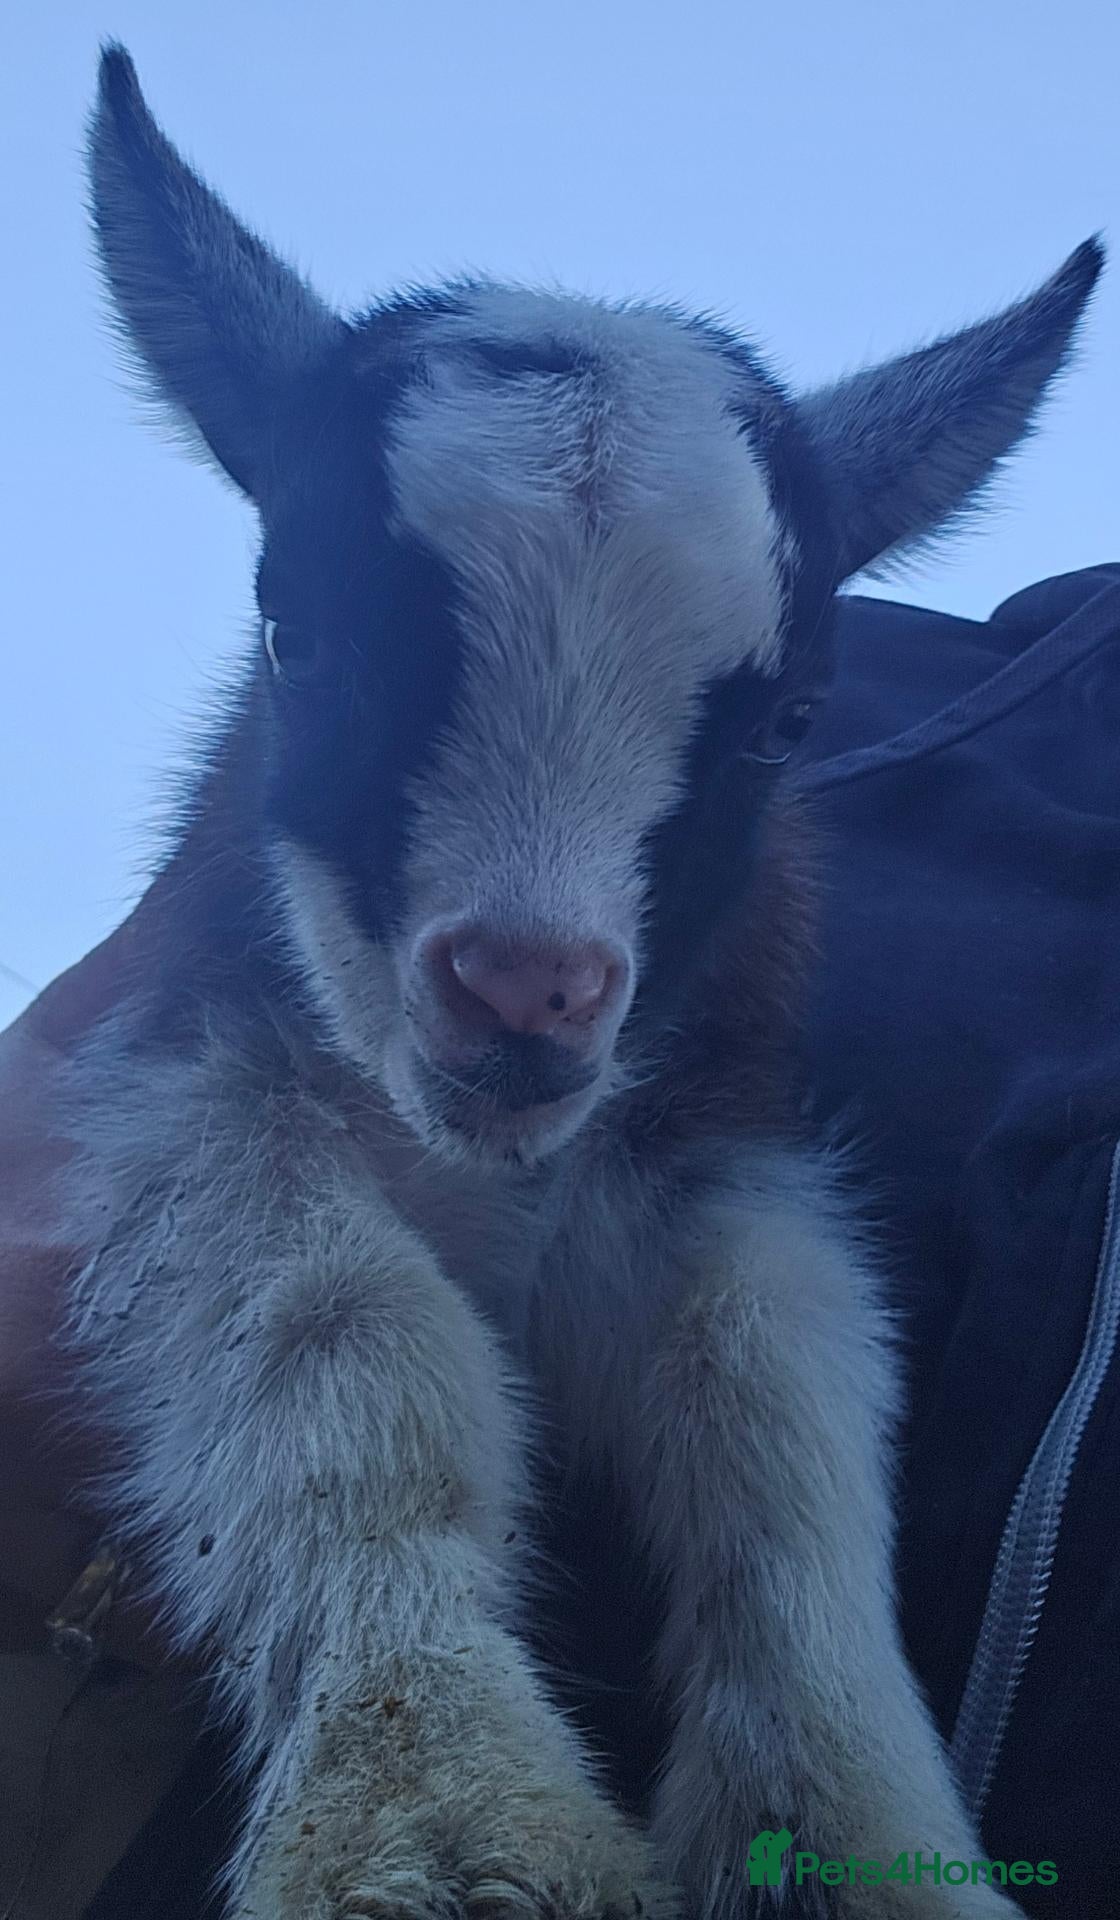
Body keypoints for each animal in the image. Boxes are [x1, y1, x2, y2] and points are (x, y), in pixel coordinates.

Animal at [60, 40, 1101, 1920]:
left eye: (788, 721)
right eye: (298, 633)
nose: (522, 996)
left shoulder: (716, 1119)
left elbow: (772, 1388)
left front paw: (845, 1838)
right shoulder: (193, 1058)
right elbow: (337, 1331)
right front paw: (439, 1816)